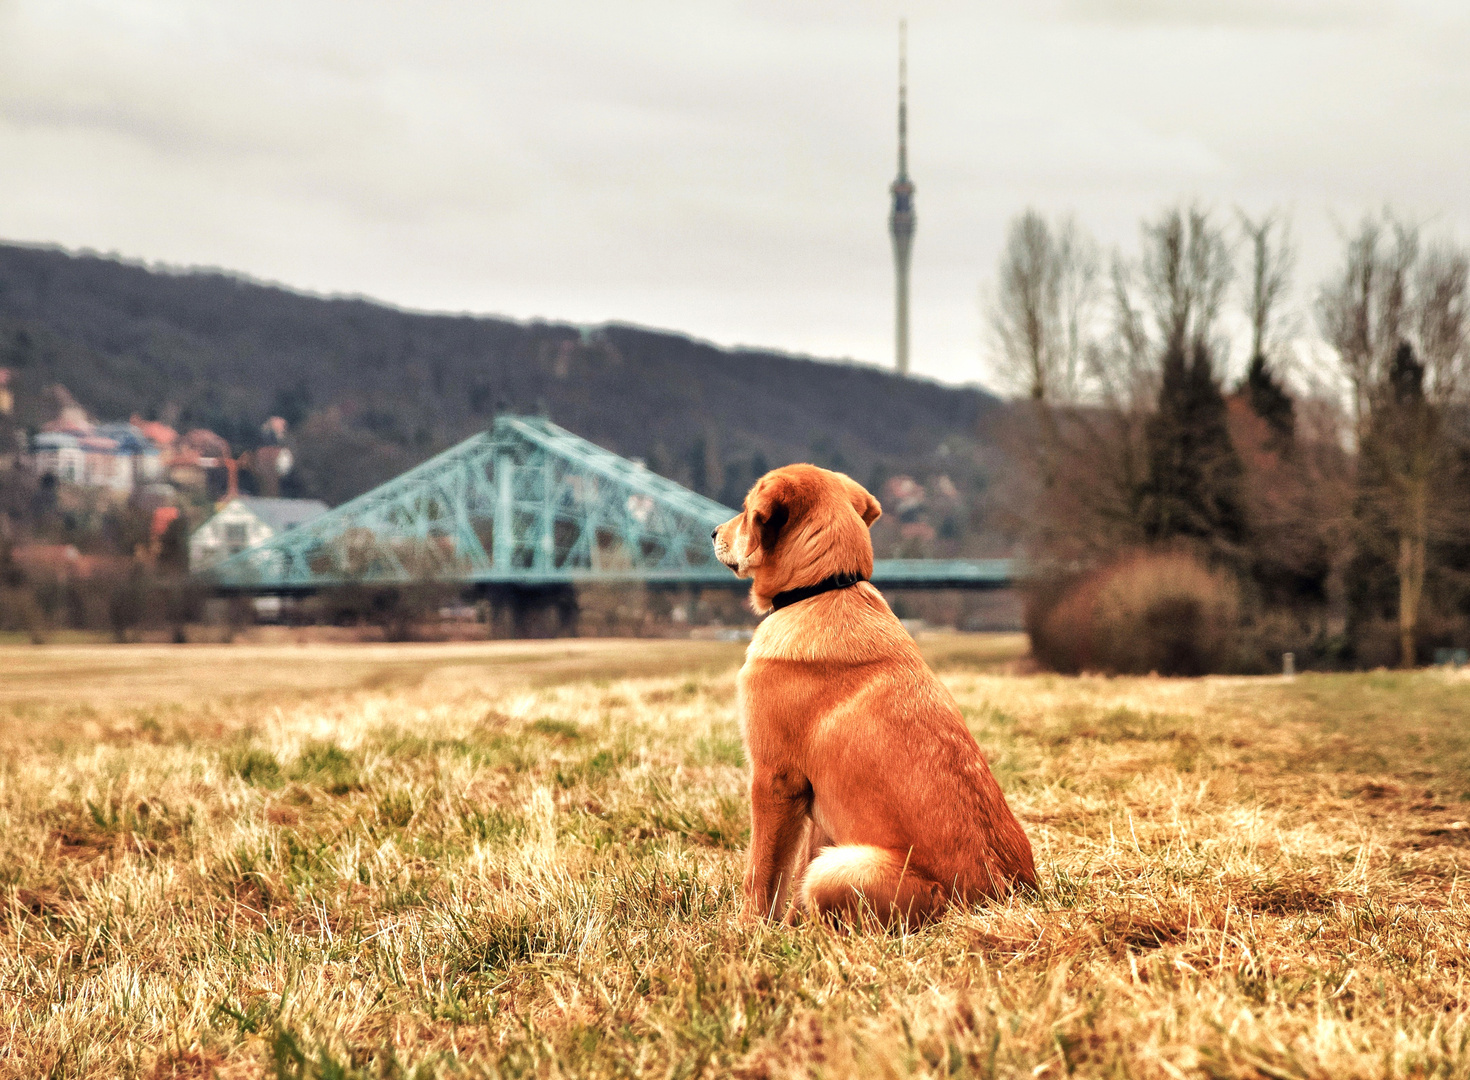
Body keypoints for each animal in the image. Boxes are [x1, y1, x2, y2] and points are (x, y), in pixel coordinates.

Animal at [711, 464, 1034, 928]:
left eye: (745, 508)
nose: (712, 532)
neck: (825, 588)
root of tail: (998, 897)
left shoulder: (774, 779)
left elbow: (762, 873)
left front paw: (748, 931)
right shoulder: (818, 804)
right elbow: (791, 874)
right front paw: (785, 926)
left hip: (840, 868)